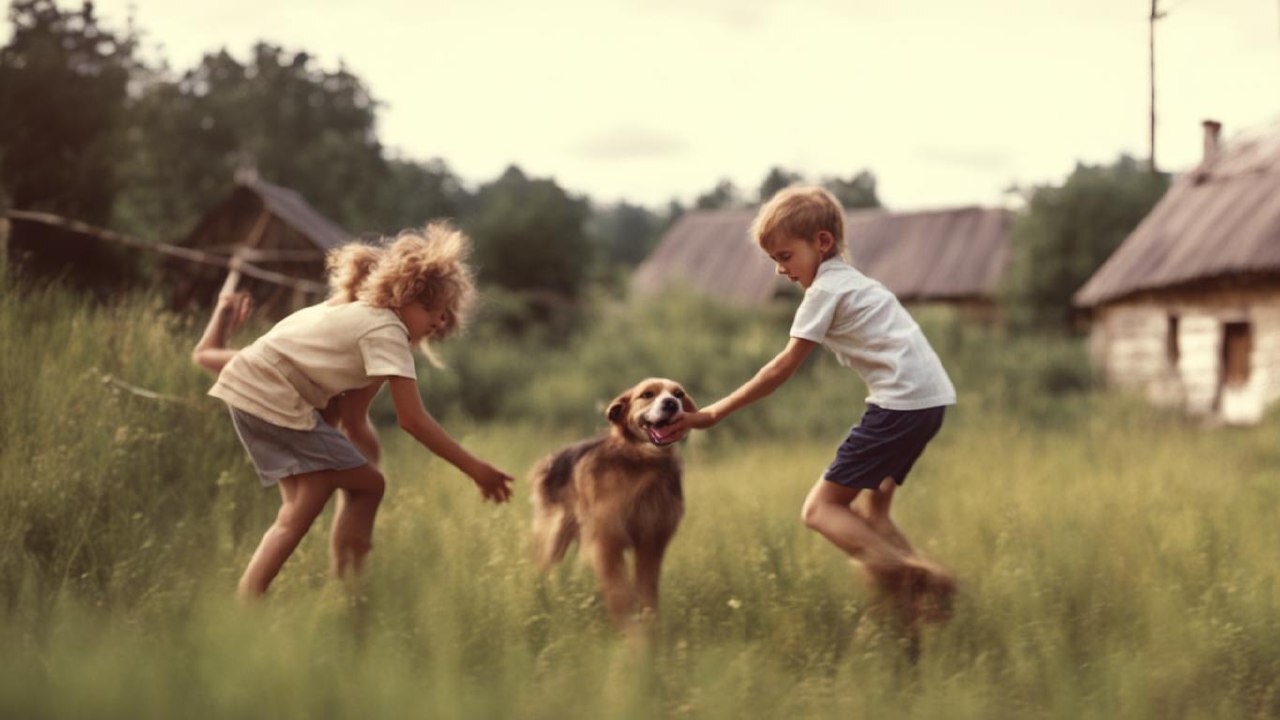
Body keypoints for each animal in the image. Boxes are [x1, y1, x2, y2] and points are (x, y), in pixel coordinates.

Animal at [527, 376, 696, 622]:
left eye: (679, 394)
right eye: (647, 394)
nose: (671, 404)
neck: (642, 463)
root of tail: (548, 461)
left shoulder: (651, 540)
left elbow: (646, 592)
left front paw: (649, 625)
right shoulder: (606, 539)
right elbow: (619, 592)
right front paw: (630, 627)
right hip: (554, 538)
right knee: (544, 572)